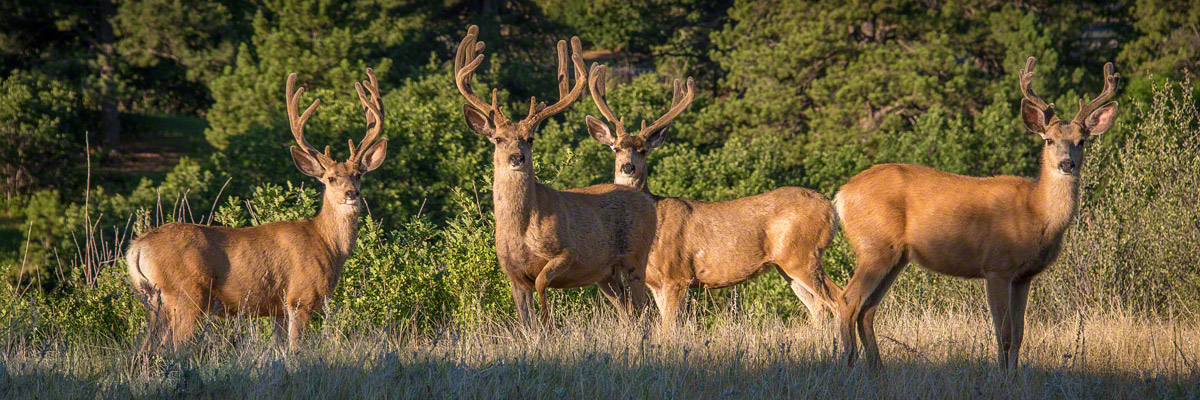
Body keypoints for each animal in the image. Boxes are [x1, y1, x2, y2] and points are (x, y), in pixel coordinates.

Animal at [126, 69, 388, 350]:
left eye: (358, 175)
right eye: (330, 178)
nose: (351, 193)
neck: (327, 244)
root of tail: (137, 247)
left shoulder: (278, 310)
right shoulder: (299, 298)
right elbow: (296, 349)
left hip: (154, 301)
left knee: (145, 349)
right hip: (185, 295)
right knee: (174, 346)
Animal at [451, 25, 657, 324]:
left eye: (530, 138)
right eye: (499, 139)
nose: (517, 157)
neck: (521, 230)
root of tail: (646, 201)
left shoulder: (567, 253)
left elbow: (541, 284)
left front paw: (548, 321)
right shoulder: (513, 273)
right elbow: (524, 318)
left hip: (636, 257)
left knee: (644, 307)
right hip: (607, 274)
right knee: (628, 309)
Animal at [585, 65, 840, 326]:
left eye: (643, 150)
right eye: (616, 148)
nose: (628, 167)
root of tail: (831, 207)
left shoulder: (676, 275)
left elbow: (668, 328)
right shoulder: (655, 283)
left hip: (803, 254)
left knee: (837, 299)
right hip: (787, 265)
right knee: (818, 308)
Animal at [830, 56, 1118, 367]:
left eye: (1082, 141)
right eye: (1049, 140)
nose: (1067, 164)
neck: (1036, 212)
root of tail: (841, 195)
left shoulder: (1024, 276)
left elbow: (1019, 335)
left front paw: (1014, 375)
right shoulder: (997, 266)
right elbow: (1004, 333)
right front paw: (1000, 374)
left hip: (896, 257)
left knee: (867, 310)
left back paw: (877, 370)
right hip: (875, 247)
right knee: (848, 300)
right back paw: (849, 364)